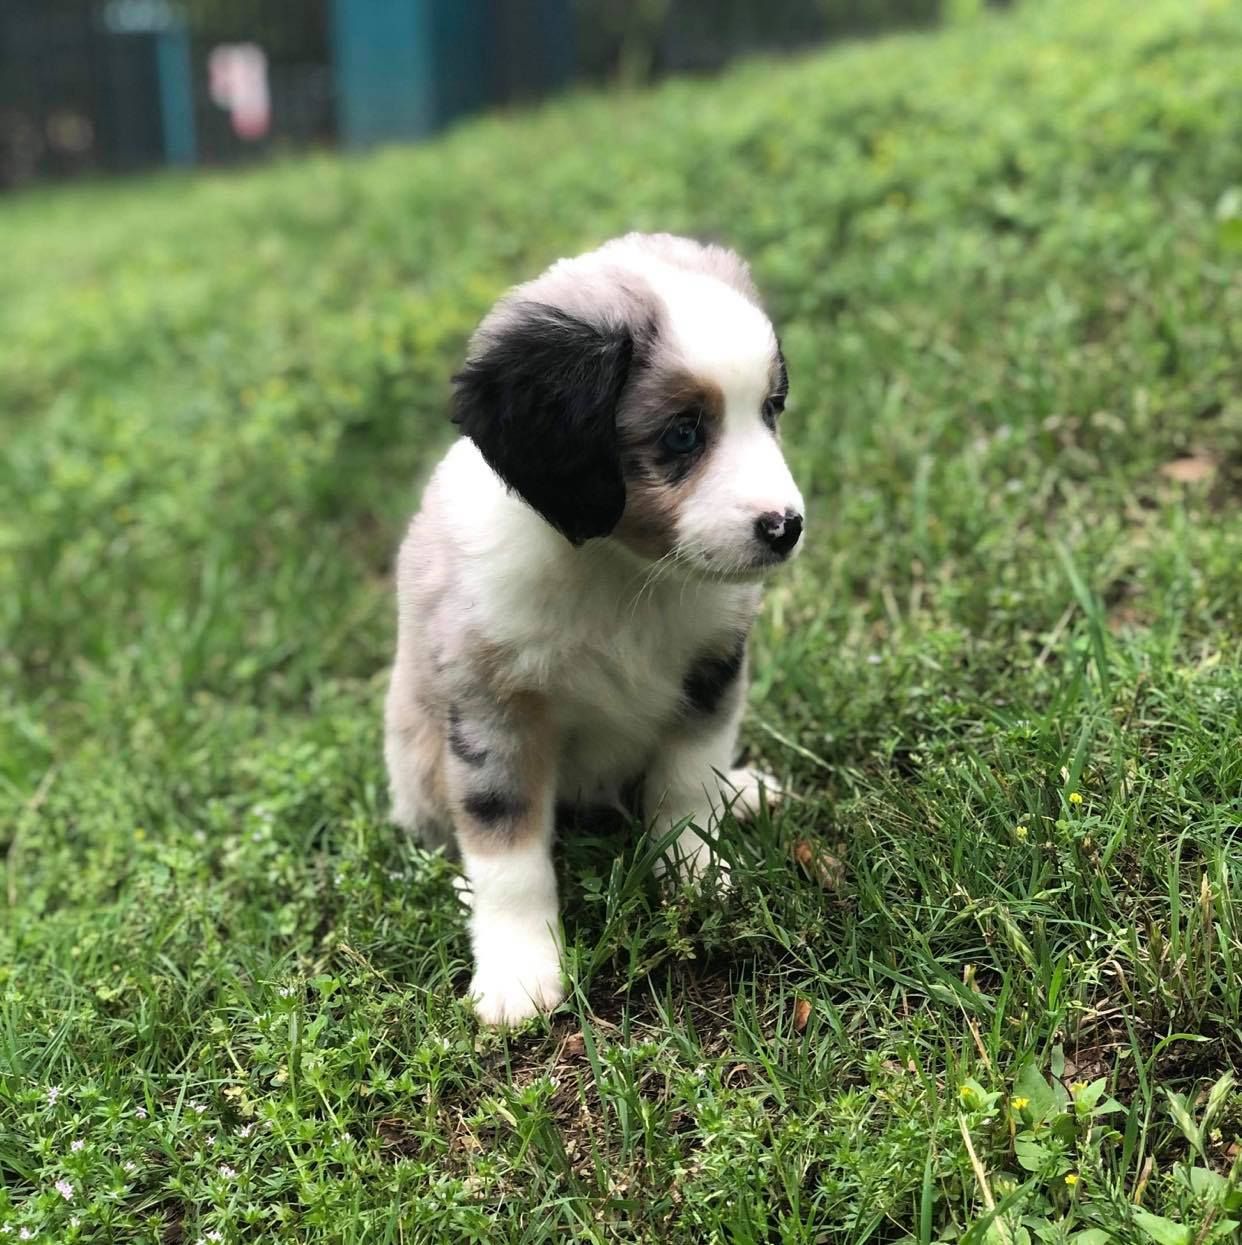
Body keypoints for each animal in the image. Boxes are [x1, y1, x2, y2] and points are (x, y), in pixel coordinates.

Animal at [385, 231, 806, 1020]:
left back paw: (744, 792)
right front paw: (519, 972)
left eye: (770, 409)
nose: (785, 528)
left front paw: (701, 880)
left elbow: (685, 788)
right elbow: (508, 849)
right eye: (682, 435)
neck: (620, 573)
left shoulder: (710, 671)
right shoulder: (492, 709)